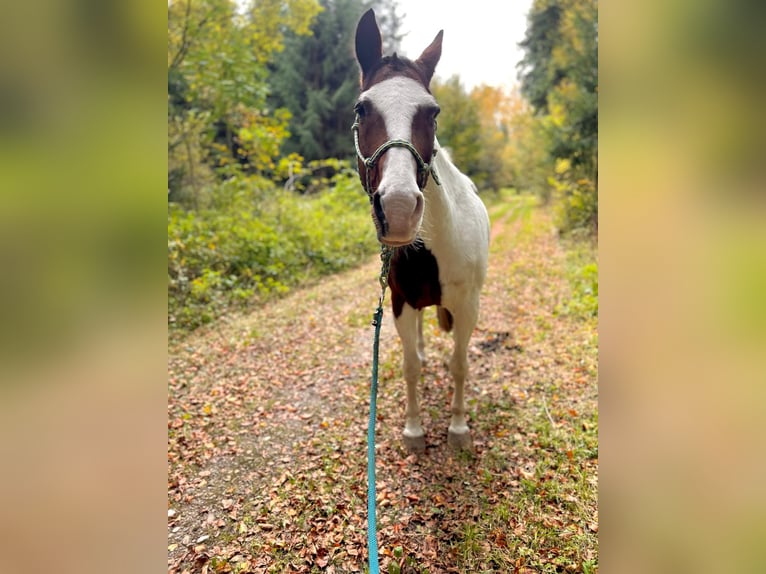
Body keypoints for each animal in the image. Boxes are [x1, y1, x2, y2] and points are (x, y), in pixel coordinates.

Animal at [356, 6, 492, 452]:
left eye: (432, 112)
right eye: (361, 109)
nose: (398, 209)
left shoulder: (467, 306)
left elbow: (460, 363)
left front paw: (458, 427)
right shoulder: (401, 303)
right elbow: (410, 366)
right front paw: (414, 430)